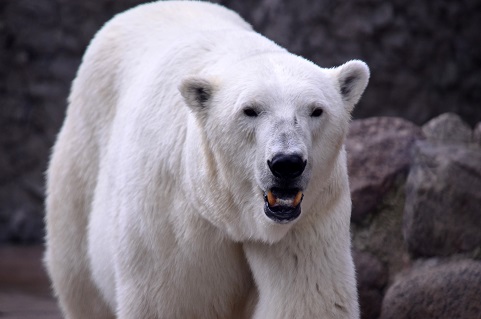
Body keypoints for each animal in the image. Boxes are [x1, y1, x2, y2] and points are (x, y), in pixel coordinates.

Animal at [44, 1, 368, 318]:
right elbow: (171, 303)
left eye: (316, 110)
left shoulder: (312, 220)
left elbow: (310, 301)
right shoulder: (171, 225)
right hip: (83, 159)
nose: (286, 163)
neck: (237, 219)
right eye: (250, 110)